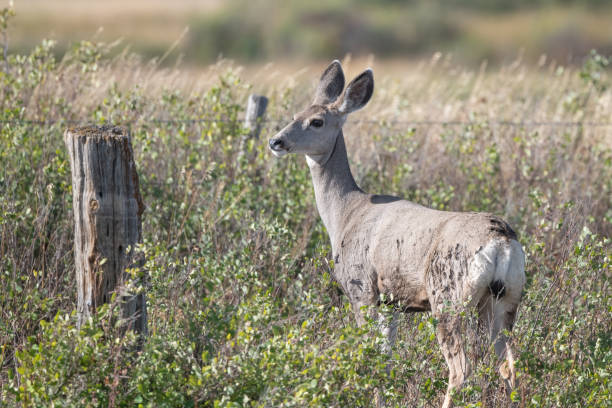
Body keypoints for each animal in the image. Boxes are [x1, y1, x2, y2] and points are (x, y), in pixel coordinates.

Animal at [268, 61, 524, 408]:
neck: (346, 213)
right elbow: (386, 358)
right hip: (504, 300)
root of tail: (501, 240)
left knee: (461, 369)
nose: (276, 142)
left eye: (316, 121)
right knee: (508, 365)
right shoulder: (393, 302)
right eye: (296, 113)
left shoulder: (362, 289)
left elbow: (371, 356)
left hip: (447, 297)